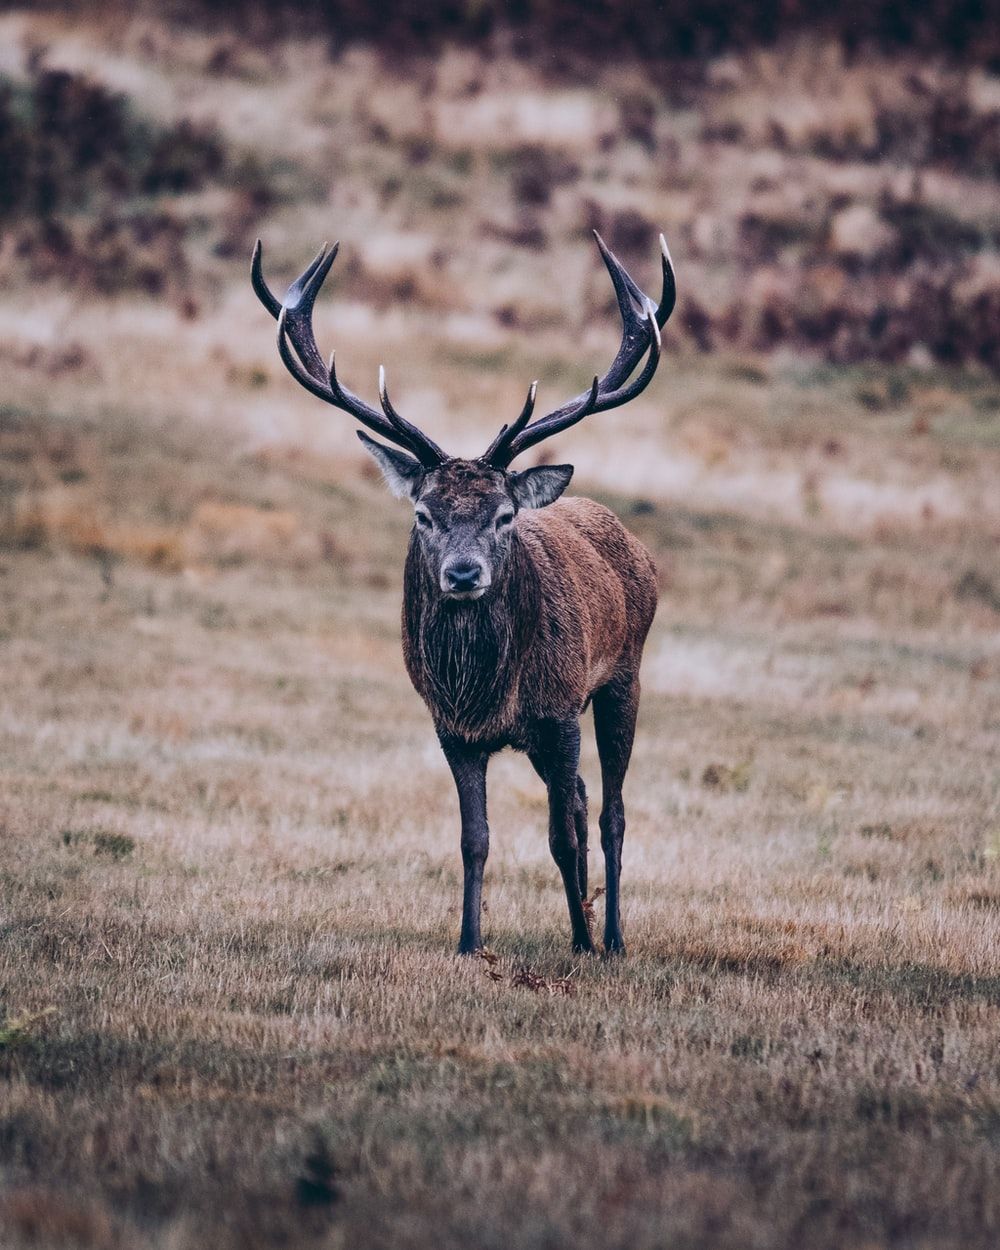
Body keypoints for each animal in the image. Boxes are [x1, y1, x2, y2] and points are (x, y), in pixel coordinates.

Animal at [251, 229, 675, 955]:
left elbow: (563, 835)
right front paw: (469, 942)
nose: (463, 574)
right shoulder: (452, 728)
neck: (486, 690)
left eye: (504, 516)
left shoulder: (560, 710)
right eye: (424, 513)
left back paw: (612, 937)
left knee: (610, 811)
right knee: (582, 797)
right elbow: (474, 838)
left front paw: (582, 943)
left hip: (623, 676)